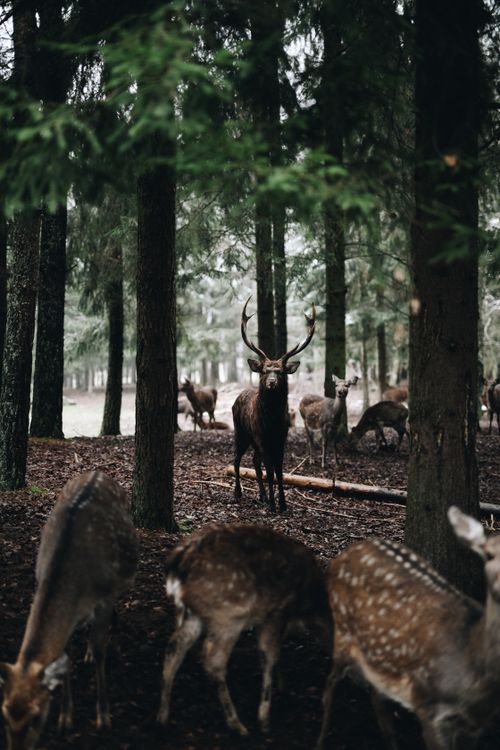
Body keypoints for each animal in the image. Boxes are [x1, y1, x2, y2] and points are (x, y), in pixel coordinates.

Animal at [0, 471, 139, 750]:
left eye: (36, 716)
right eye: (4, 713)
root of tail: (99, 472)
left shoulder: (105, 596)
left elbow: (100, 650)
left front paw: (103, 716)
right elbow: (66, 654)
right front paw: (66, 717)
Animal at [157, 523, 330, 737]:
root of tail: (176, 566)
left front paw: (282, 685)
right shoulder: (276, 612)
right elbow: (269, 655)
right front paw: (264, 718)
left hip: (192, 613)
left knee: (174, 647)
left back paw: (162, 717)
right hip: (229, 613)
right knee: (213, 661)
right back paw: (236, 724)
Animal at [232, 297, 316, 513]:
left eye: (281, 372)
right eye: (264, 371)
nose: (271, 382)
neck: (272, 421)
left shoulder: (281, 438)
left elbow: (279, 470)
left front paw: (282, 504)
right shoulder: (262, 437)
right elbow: (269, 470)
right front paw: (272, 504)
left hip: (252, 439)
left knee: (254, 460)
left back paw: (261, 496)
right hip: (241, 431)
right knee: (236, 458)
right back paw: (238, 493)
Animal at [317, 506, 500, 750]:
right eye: (488, 554)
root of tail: (345, 552)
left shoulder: (476, 726)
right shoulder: (427, 705)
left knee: (377, 697)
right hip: (342, 631)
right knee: (329, 687)